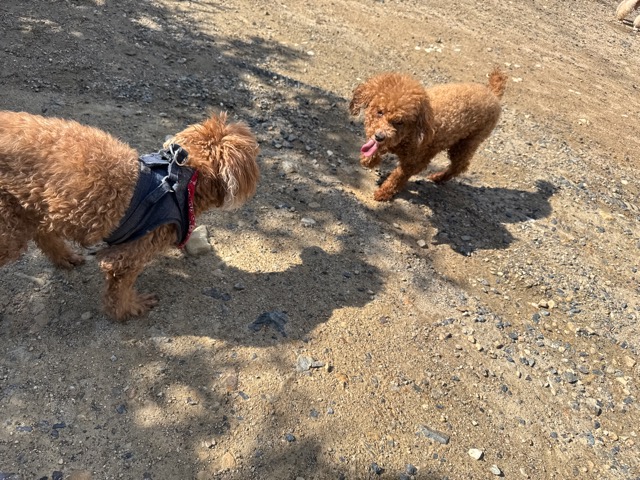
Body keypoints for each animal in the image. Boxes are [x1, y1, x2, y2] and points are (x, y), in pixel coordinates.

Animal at [0, 111, 259, 321]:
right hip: (10, 226)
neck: (183, 181)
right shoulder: (129, 254)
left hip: (34, 203)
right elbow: (119, 290)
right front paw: (130, 309)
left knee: (42, 232)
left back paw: (65, 257)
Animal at [350, 68, 507, 201]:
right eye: (379, 112)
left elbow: (398, 176)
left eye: (399, 122)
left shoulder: (413, 161)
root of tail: (492, 93)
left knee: (460, 166)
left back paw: (439, 177)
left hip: (467, 142)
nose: (379, 136)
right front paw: (368, 160)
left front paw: (383, 193)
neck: (408, 136)